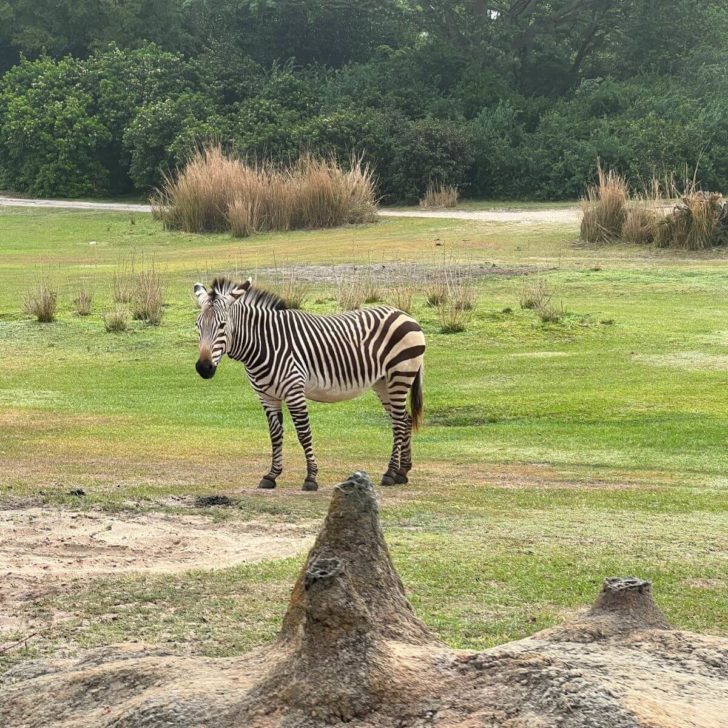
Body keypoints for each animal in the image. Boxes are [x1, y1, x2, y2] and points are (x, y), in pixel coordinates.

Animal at [193, 276, 426, 492]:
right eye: (197, 326)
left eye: (222, 325)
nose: (204, 368)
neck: (263, 344)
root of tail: (404, 314)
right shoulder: (267, 396)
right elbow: (275, 435)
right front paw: (271, 476)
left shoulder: (294, 391)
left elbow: (304, 434)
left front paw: (311, 478)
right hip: (383, 383)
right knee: (404, 420)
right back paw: (402, 472)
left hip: (400, 375)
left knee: (398, 422)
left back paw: (390, 473)